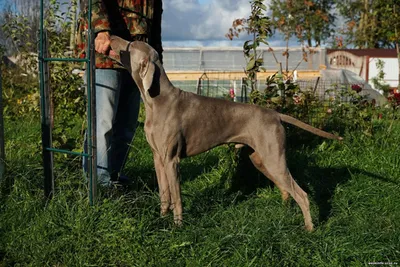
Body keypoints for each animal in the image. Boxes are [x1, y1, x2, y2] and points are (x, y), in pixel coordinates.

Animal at [110, 35, 344, 232]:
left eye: (130, 45)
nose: (110, 36)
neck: (156, 101)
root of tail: (275, 114)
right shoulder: (158, 159)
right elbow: (164, 194)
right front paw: (162, 219)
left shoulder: (171, 160)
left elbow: (177, 197)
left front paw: (178, 226)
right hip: (261, 159)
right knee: (286, 190)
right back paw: (285, 214)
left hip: (273, 159)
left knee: (302, 194)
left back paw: (310, 229)